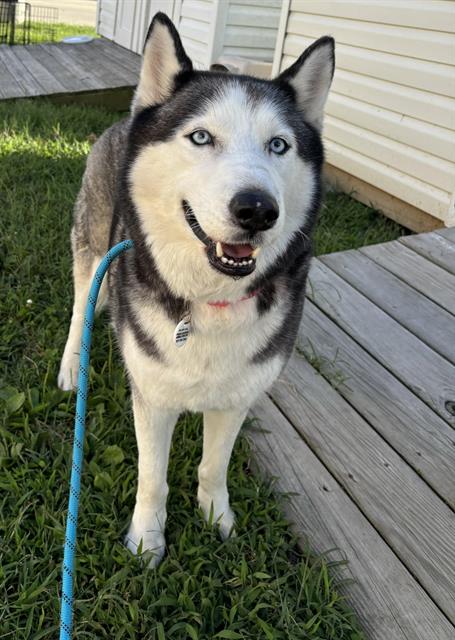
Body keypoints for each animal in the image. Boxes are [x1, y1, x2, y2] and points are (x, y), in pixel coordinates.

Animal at [58, 13, 334, 564]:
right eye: (202, 137)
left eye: (279, 145)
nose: (257, 209)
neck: (209, 300)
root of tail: (127, 118)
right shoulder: (152, 398)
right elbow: (152, 478)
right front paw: (147, 538)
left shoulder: (238, 397)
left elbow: (213, 466)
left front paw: (215, 517)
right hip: (91, 248)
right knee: (82, 306)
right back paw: (72, 366)